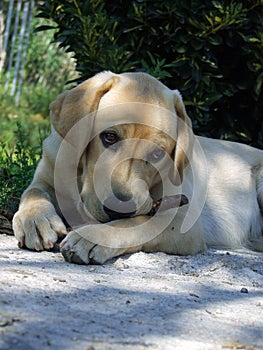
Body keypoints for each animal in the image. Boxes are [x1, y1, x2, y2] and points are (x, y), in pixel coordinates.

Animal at [12, 70, 263, 262]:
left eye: (157, 153)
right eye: (109, 137)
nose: (117, 209)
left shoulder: (182, 220)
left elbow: (136, 223)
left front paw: (92, 237)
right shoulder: (46, 175)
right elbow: (33, 192)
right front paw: (36, 220)